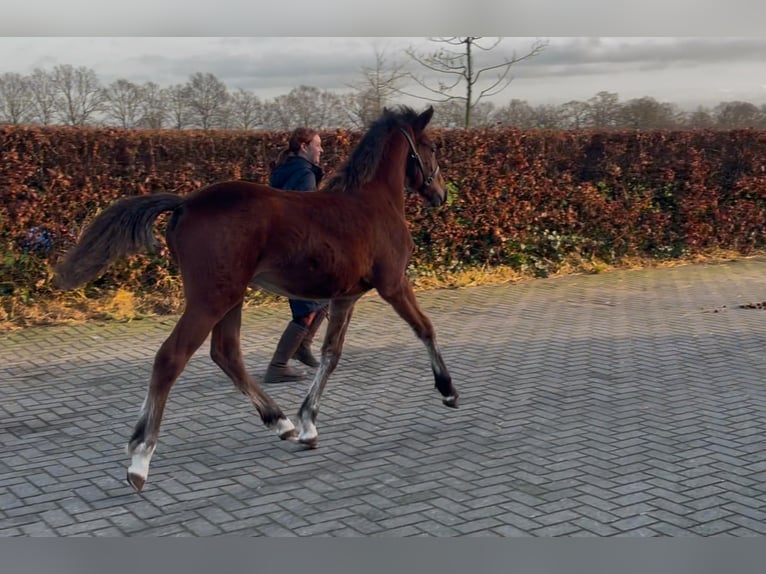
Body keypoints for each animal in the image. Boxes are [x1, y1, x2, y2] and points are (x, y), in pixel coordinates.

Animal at [57, 106, 462, 492]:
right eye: (431, 147)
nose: (441, 194)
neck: (372, 202)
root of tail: (185, 203)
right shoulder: (393, 283)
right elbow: (425, 328)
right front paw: (448, 391)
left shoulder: (345, 297)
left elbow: (330, 355)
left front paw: (308, 423)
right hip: (211, 298)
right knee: (171, 357)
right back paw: (140, 459)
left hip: (229, 296)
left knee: (226, 352)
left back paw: (281, 422)